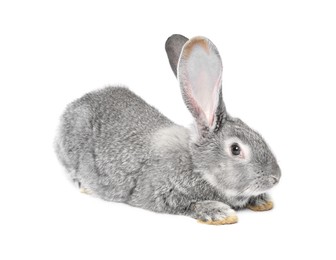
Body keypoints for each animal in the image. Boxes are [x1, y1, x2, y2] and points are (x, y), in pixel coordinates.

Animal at [55, 34, 280, 224]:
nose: (276, 177)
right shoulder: (164, 193)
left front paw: (261, 201)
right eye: (235, 149)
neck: (196, 164)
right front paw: (219, 212)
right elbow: (188, 205)